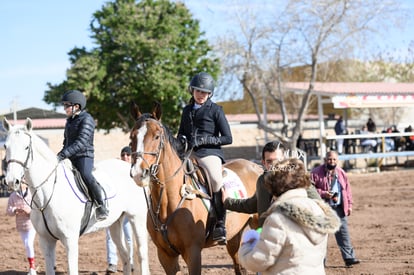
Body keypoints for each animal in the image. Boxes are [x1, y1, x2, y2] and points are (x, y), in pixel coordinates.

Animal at [2, 118, 151, 275]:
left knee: (141, 254)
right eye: (5, 146)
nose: (11, 181)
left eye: (26, 147)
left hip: (137, 218)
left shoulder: (70, 241)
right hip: (115, 223)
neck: (47, 197)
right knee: (125, 255)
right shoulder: (46, 241)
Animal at [129, 102, 262, 274]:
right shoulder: (165, 256)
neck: (167, 201)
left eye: (157, 136)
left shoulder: (193, 252)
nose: (139, 173)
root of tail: (256, 166)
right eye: (132, 137)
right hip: (234, 235)